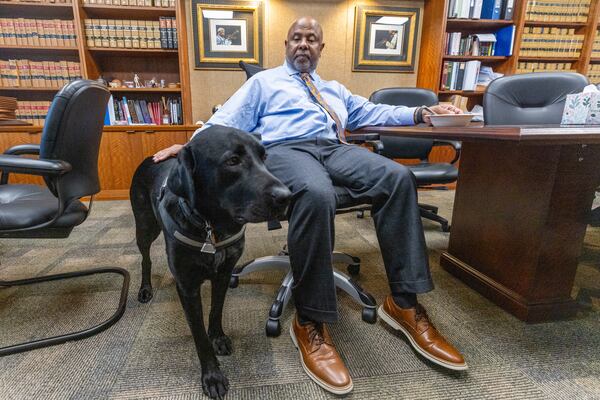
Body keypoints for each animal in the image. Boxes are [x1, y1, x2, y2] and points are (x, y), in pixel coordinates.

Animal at [130, 124, 292, 396]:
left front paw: (218, 337)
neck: (212, 229)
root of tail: (149, 157)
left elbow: (216, 310)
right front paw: (212, 376)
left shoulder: (224, 274)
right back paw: (145, 289)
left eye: (264, 157)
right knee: (145, 258)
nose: (287, 196)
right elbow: (199, 336)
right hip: (145, 226)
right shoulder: (187, 287)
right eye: (233, 161)